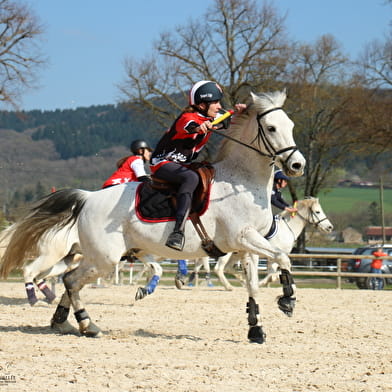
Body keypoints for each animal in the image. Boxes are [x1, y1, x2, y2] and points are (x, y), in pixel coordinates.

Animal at [0, 89, 306, 344]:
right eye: (271, 128)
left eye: (291, 126)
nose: (297, 165)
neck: (241, 180)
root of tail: (87, 198)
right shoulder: (243, 237)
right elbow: (283, 258)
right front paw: (288, 300)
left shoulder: (247, 248)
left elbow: (255, 284)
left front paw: (256, 329)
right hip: (104, 258)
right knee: (70, 280)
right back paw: (86, 324)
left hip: (93, 256)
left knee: (67, 280)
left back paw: (62, 321)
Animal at [190, 198, 334, 290]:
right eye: (318, 212)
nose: (330, 227)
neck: (288, 227)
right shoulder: (275, 256)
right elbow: (272, 275)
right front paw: (261, 283)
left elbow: (272, 273)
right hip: (227, 253)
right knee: (219, 268)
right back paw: (229, 286)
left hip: (237, 253)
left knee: (227, 268)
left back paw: (242, 281)